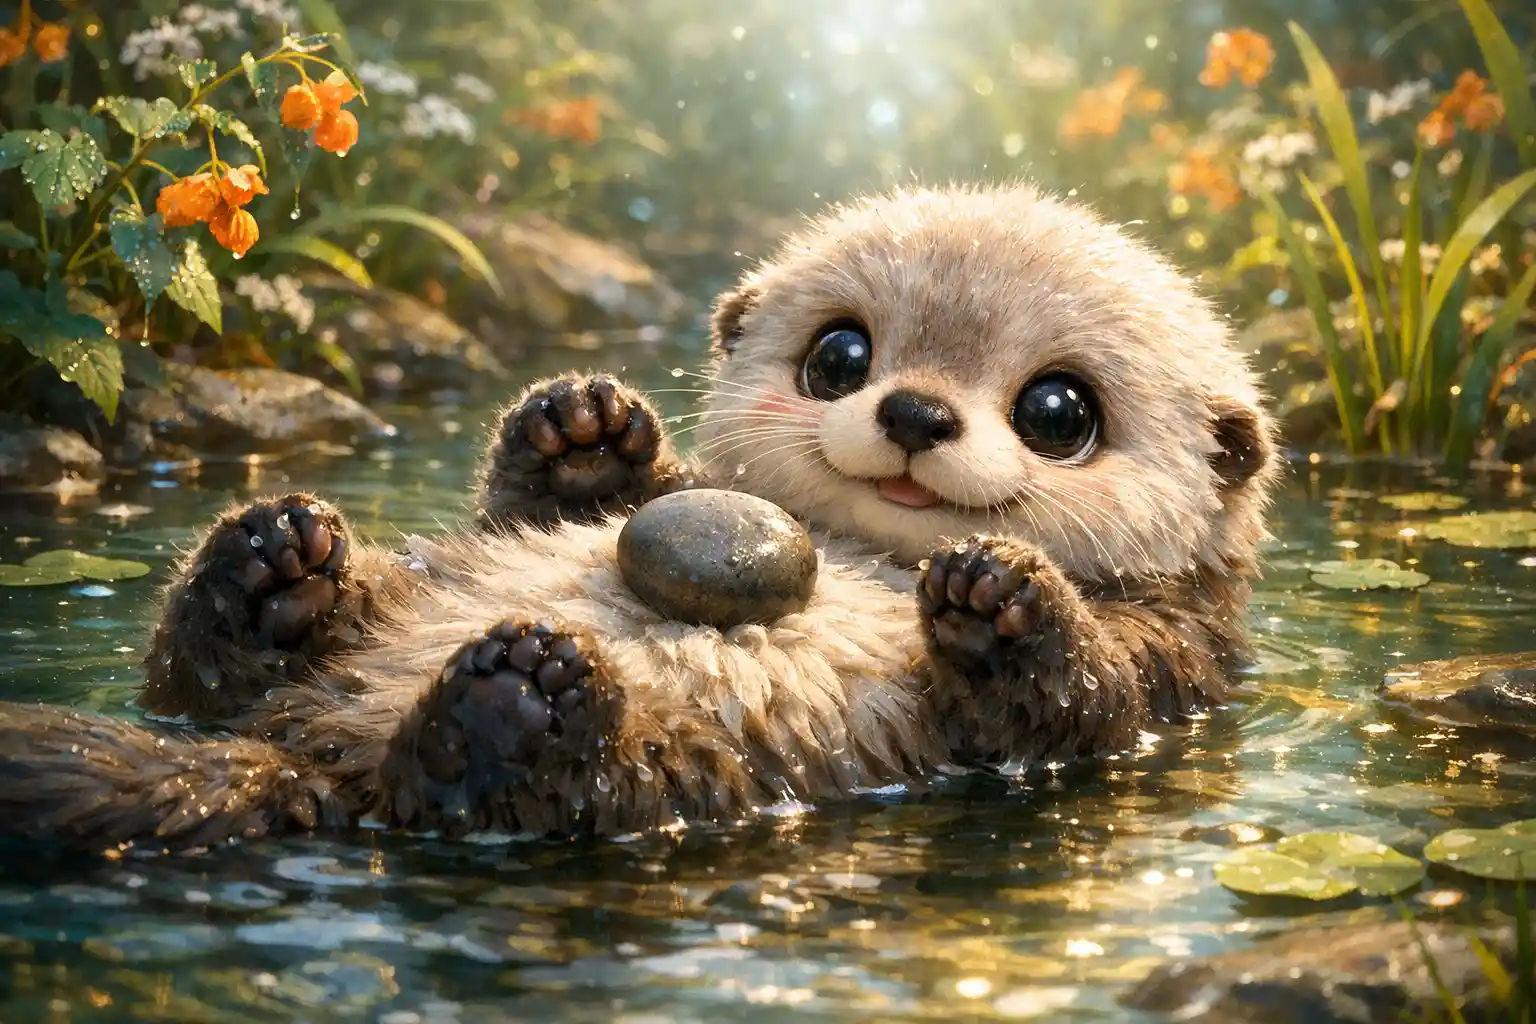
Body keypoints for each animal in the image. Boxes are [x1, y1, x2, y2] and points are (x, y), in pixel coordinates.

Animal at [0, 184, 1279, 851]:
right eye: (839, 356)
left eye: (1059, 411)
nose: (914, 412)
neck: (870, 544)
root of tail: (303, 757)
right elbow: (570, 499)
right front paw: (583, 428)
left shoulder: (1177, 657)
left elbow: (1078, 698)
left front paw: (1001, 594)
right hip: (361, 618)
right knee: (201, 668)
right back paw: (272, 564)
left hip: (668, 773)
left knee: (473, 793)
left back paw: (514, 698)